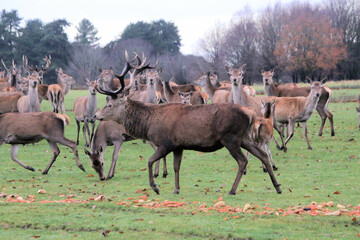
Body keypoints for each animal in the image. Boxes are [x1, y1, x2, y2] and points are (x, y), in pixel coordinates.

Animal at [92, 50, 282, 195]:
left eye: (109, 105)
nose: (95, 115)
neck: (149, 122)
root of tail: (250, 113)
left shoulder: (166, 142)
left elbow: (149, 161)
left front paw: (155, 187)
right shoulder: (178, 145)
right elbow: (176, 167)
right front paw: (176, 189)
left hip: (231, 137)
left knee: (243, 161)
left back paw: (232, 190)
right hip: (244, 137)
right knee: (262, 154)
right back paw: (277, 186)